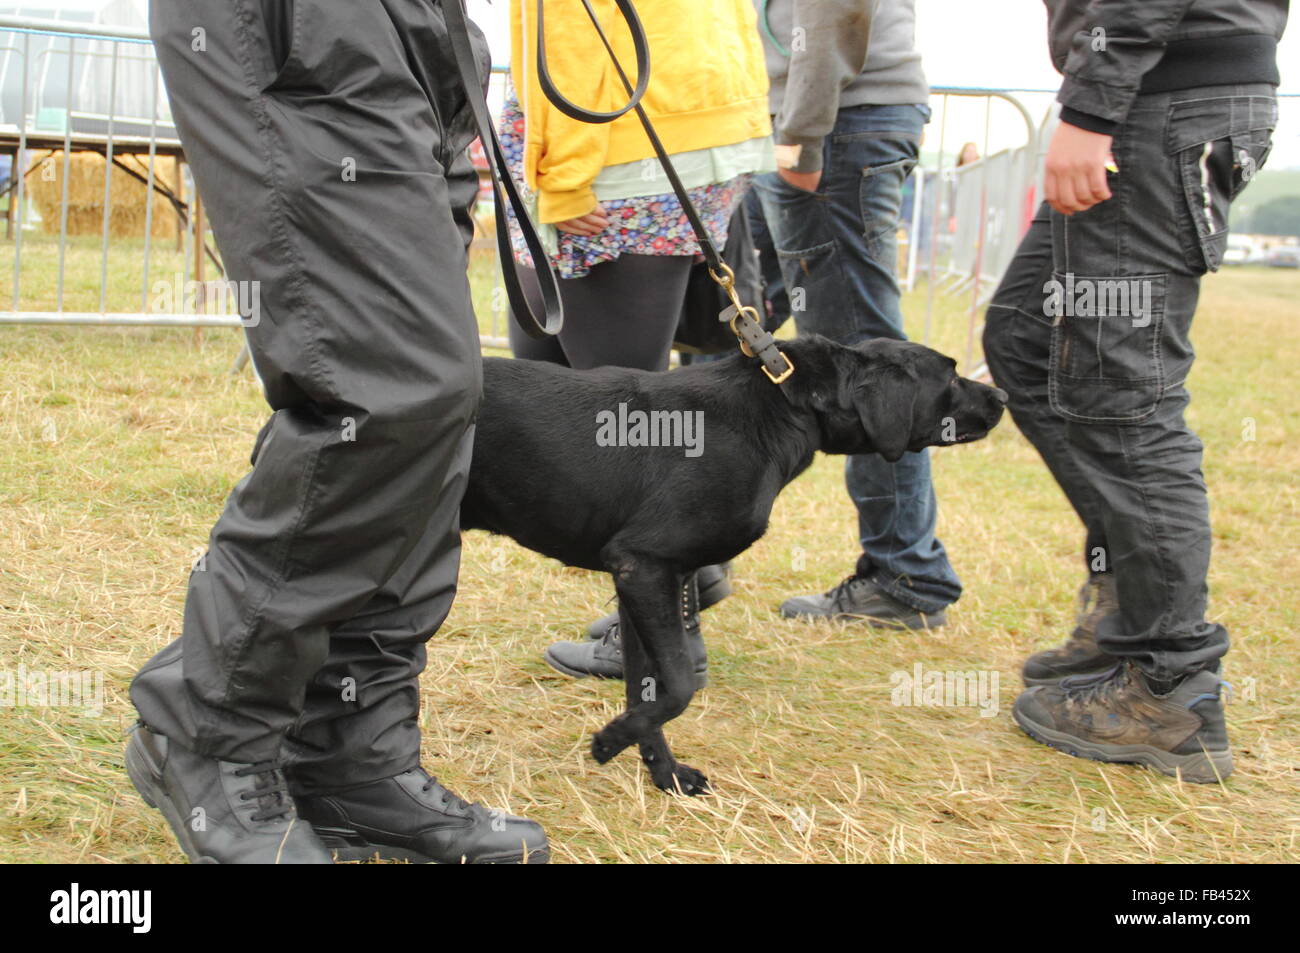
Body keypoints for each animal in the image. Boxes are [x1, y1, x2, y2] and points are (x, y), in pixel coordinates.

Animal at [460, 335, 1003, 795]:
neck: (784, 403)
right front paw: (609, 740)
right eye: (951, 376)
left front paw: (665, 775)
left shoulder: (643, 585)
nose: (1001, 395)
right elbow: (678, 687)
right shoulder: (643, 565)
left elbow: (646, 692)